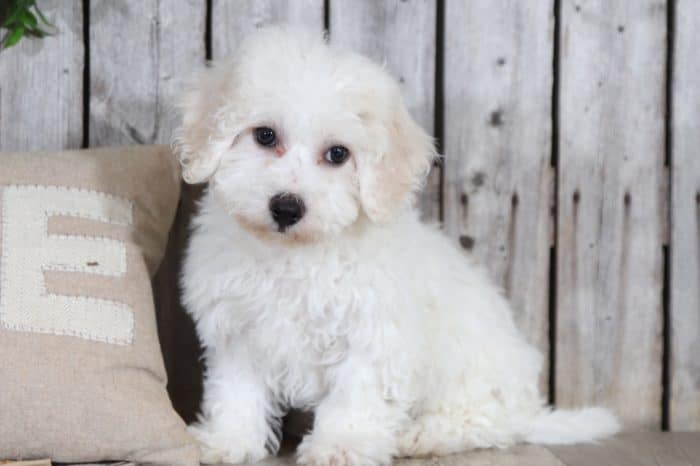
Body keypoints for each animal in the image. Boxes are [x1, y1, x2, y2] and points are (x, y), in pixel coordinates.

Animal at [174, 26, 616, 466]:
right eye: (265, 136)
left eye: (338, 154)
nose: (286, 207)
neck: (295, 254)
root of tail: (529, 412)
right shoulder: (237, 329)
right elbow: (236, 390)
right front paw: (228, 439)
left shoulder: (372, 334)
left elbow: (354, 395)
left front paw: (341, 446)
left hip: (478, 376)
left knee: (487, 421)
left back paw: (422, 434)